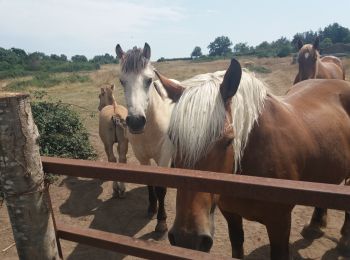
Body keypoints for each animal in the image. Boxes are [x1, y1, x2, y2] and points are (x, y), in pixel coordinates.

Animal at [115, 43, 180, 234]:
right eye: (122, 81)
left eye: (149, 80)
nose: (136, 121)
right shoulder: (142, 157)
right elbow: (150, 183)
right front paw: (151, 208)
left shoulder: (163, 158)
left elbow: (161, 189)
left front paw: (161, 223)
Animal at [155, 59, 350, 260]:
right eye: (172, 137)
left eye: (228, 141)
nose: (187, 238)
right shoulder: (231, 215)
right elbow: (237, 246)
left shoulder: (279, 223)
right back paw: (314, 226)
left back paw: (344, 240)